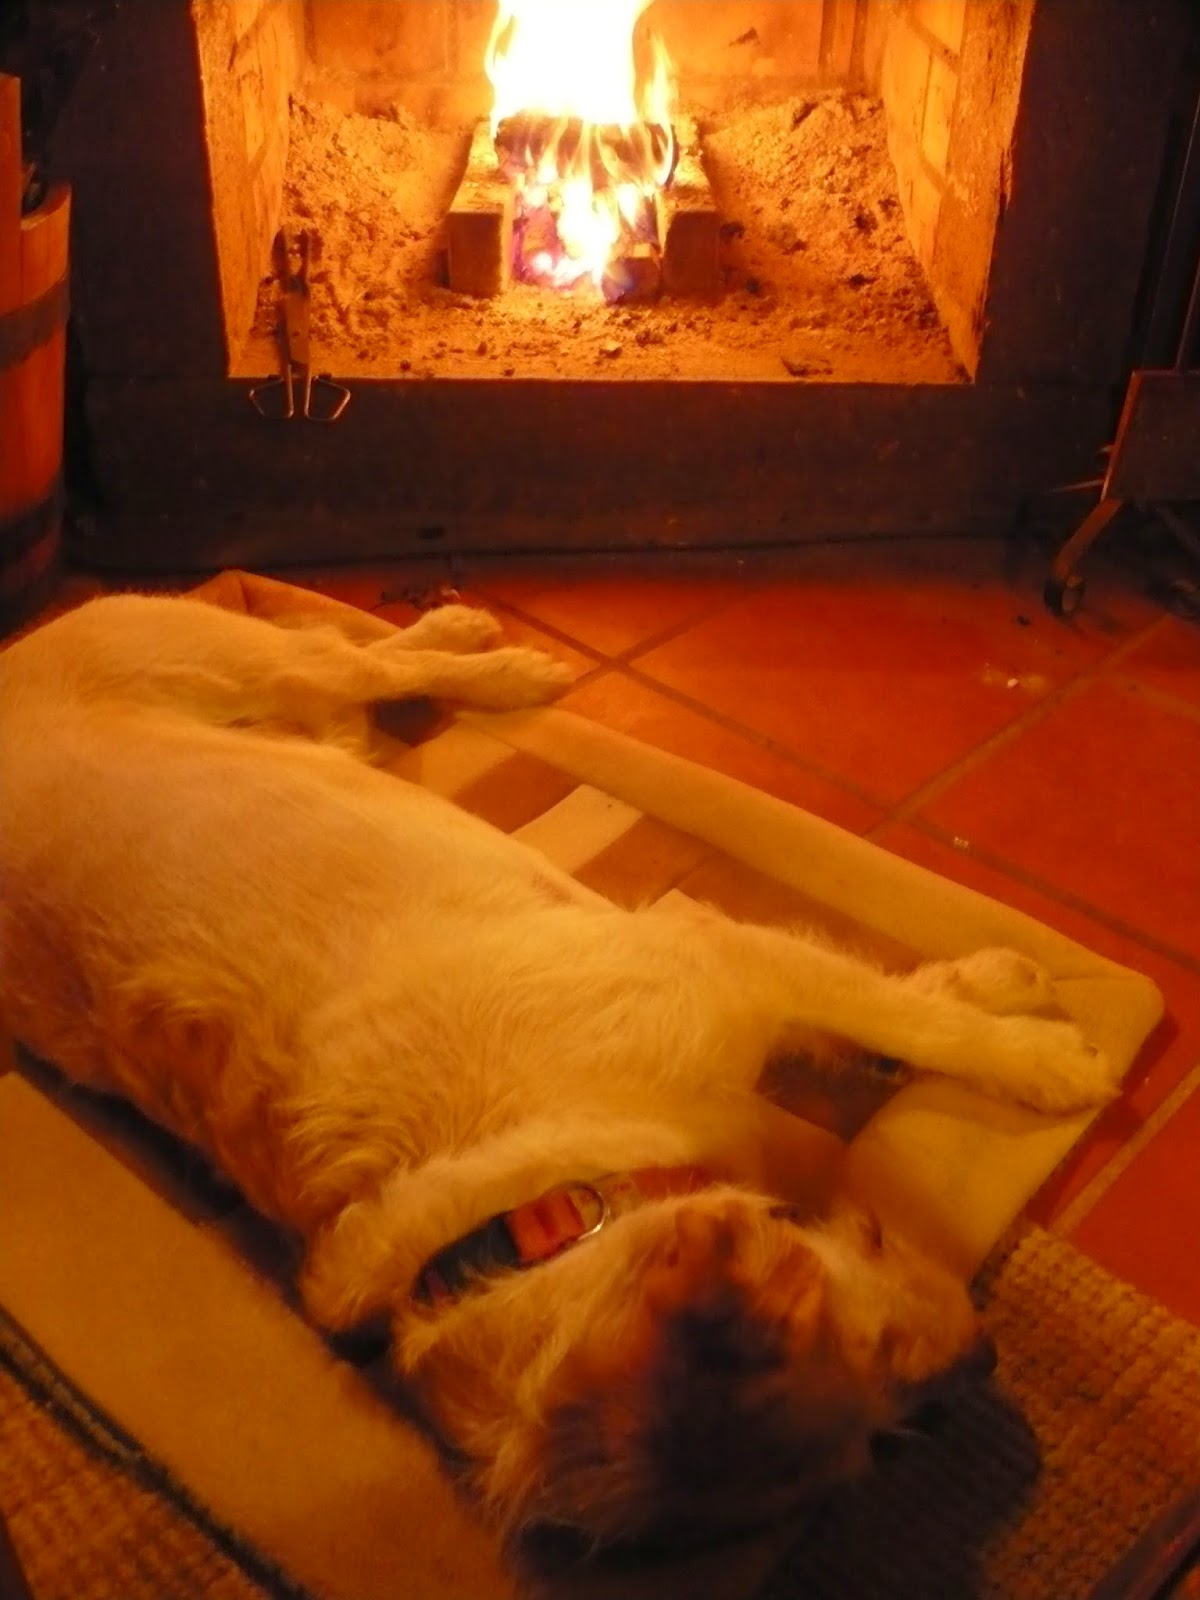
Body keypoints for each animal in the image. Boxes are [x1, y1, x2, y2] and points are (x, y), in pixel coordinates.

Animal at [0, 590, 1117, 1550]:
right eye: (872, 1438)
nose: (988, 1361)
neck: (548, 1199)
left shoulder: (735, 967)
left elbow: (909, 1013)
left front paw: (1030, 1044)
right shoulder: (735, 975)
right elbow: (888, 1012)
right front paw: (1012, 1022)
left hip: (247, 662)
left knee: (360, 656)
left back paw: (486, 654)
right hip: (288, 709)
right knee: (351, 678)